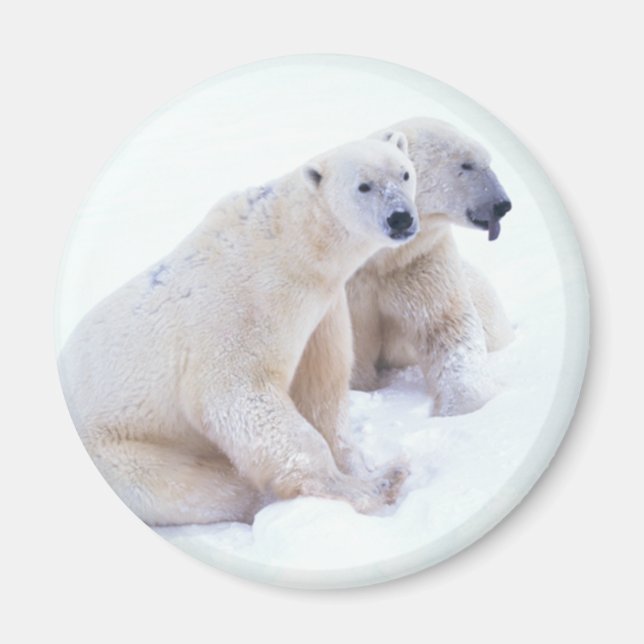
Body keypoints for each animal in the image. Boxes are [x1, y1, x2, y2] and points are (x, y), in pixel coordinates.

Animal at [58, 132, 418, 526]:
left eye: (404, 173)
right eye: (363, 186)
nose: (401, 218)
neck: (287, 246)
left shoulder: (323, 313)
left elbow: (321, 389)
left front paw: (364, 466)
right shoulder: (240, 306)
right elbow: (238, 393)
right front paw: (375, 483)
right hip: (127, 453)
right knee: (200, 488)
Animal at [345, 117, 515, 416]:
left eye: (488, 161)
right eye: (467, 164)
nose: (502, 204)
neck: (379, 257)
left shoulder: (421, 261)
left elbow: (447, 326)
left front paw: (466, 407)